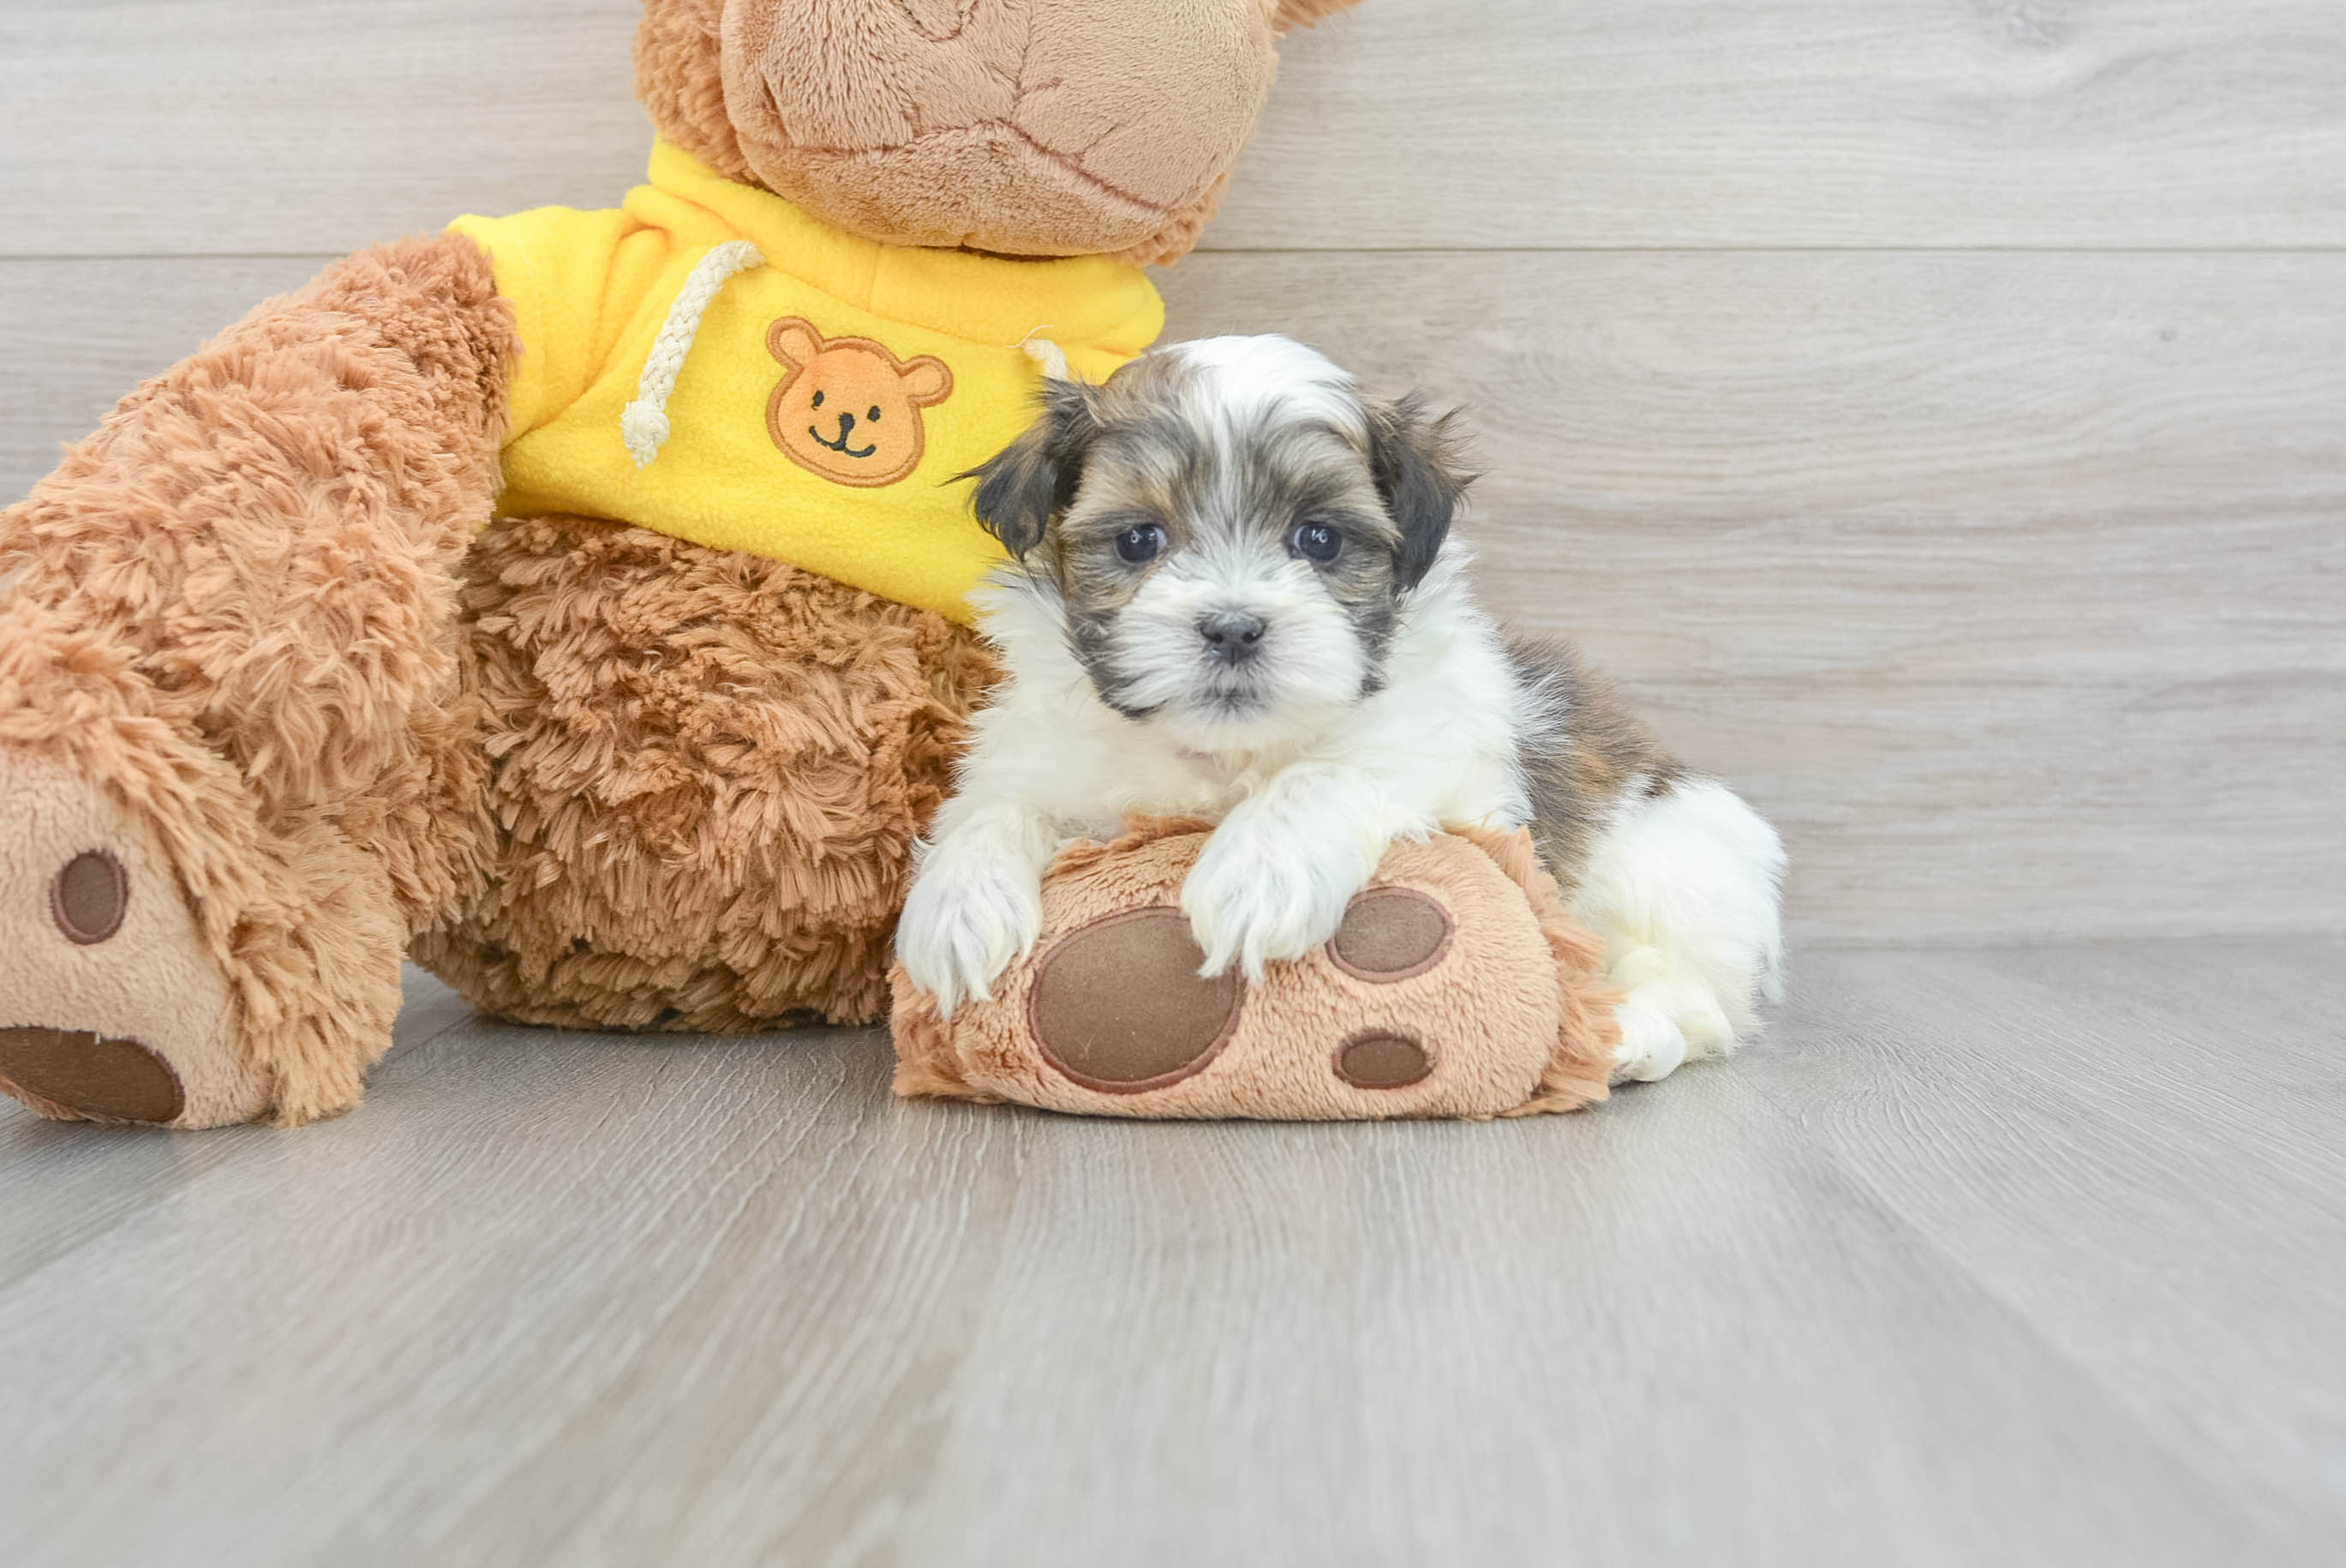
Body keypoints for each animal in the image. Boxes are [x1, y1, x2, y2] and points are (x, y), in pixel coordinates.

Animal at [891, 338, 1773, 1084]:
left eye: (1318, 538)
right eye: (1140, 540)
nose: (1234, 627)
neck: (1227, 755)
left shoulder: (1448, 761)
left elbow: (1331, 772)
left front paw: (1258, 871)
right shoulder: (1046, 754)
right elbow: (991, 807)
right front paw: (956, 911)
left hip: (1674, 865)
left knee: (1697, 994)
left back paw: (1627, 1035)